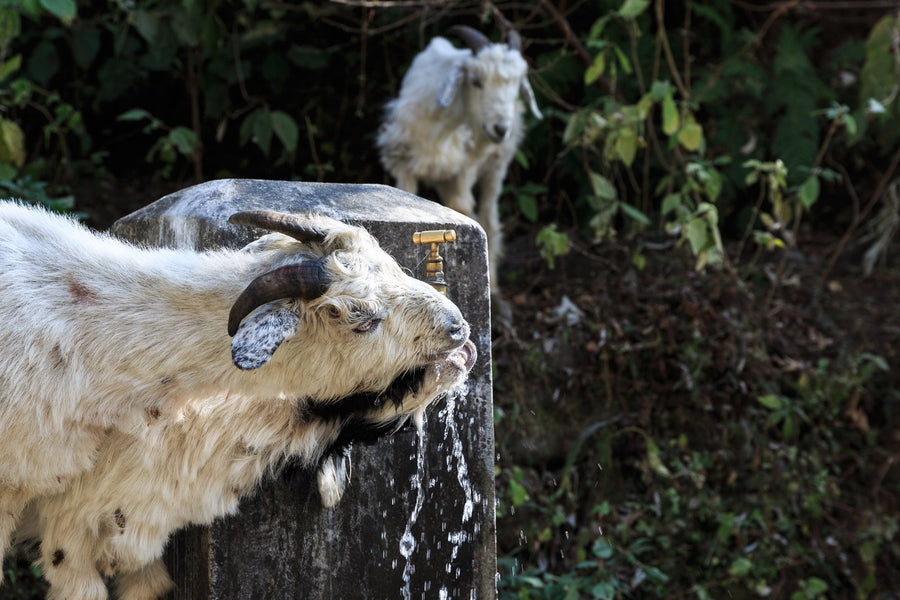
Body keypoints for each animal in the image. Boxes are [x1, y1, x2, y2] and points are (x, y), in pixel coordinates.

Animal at [377, 25, 542, 309]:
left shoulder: (466, 166)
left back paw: (494, 288)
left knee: (488, 215)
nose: (500, 129)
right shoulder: (401, 161)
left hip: (497, 164)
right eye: (475, 81)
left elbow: (464, 208)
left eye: (517, 86)